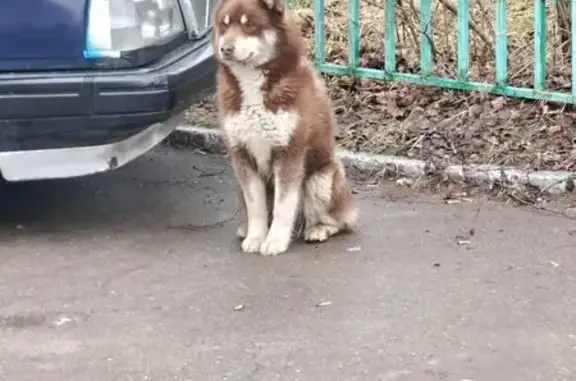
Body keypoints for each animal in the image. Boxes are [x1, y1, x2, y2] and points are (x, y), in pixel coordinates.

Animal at [210, 0, 356, 255]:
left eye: (249, 26)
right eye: (224, 25)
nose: (225, 48)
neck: (253, 84)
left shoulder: (289, 152)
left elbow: (283, 206)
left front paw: (275, 240)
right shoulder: (241, 154)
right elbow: (257, 207)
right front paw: (256, 237)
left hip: (321, 178)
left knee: (340, 220)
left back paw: (318, 229)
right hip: (238, 182)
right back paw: (245, 229)